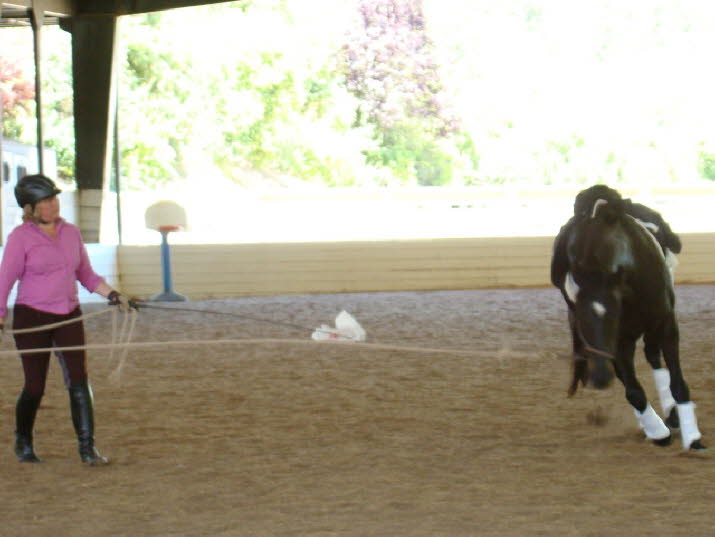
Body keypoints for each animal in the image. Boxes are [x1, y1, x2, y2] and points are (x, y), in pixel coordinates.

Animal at [552, 186, 708, 450]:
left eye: (613, 310)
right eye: (576, 314)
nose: (599, 378)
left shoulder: (666, 323)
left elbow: (677, 382)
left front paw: (693, 438)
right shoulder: (619, 341)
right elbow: (633, 390)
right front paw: (658, 432)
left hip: (655, 325)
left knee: (654, 355)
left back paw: (674, 414)